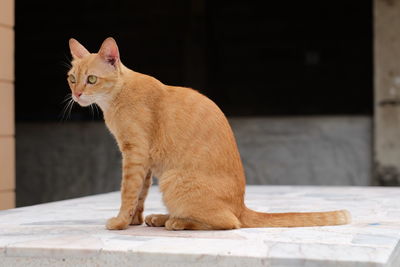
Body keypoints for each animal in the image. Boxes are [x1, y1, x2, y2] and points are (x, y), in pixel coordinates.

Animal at [68, 38, 350, 232]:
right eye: (72, 79)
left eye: (91, 79)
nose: (77, 94)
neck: (116, 97)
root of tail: (241, 205)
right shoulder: (143, 162)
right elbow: (140, 195)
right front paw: (133, 221)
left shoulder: (134, 154)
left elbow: (128, 192)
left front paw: (119, 223)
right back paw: (162, 217)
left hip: (172, 180)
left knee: (230, 222)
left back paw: (176, 222)